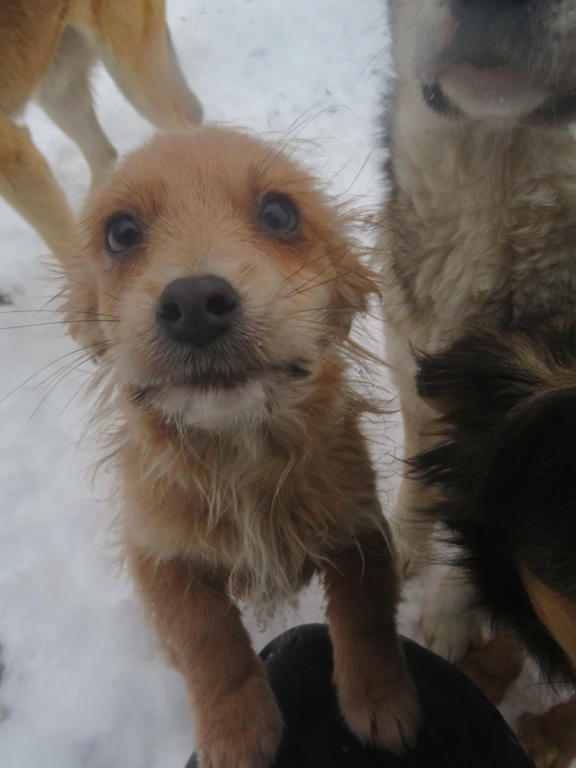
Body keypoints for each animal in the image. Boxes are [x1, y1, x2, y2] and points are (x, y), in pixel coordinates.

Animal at [0, 0, 202, 260]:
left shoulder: (17, 161)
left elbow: (68, 250)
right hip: (57, 89)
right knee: (104, 155)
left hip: (133, 80)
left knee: (184, 132)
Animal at [66, 127, 418, 768]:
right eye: (122, 233)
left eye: (279, 214)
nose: (194, 303)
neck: (240, 451)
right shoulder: (159, 553)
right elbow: (207, 641)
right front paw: (234, 730)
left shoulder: (359, 527)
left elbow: (366, 615)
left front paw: (381, 699)